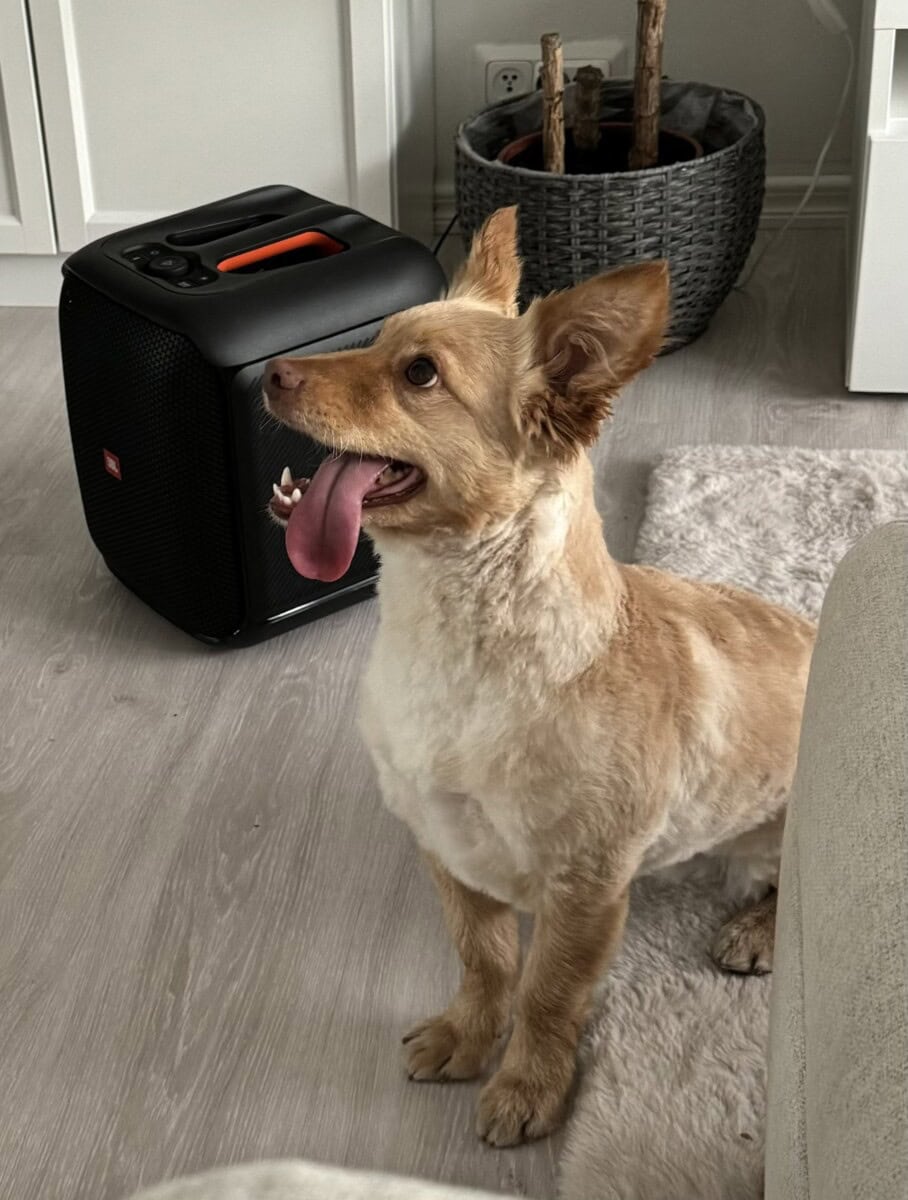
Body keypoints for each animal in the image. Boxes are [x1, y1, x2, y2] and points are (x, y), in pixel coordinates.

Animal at [263, 207, 816, 1147]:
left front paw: (528, 1086)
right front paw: (466, 1037)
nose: (269, 371)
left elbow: (550, 996)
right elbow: (484, 962)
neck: (455, 646)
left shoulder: (585, 890)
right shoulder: (447, 847)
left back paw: (756, 932)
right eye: (377, 339)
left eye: (419, 374)